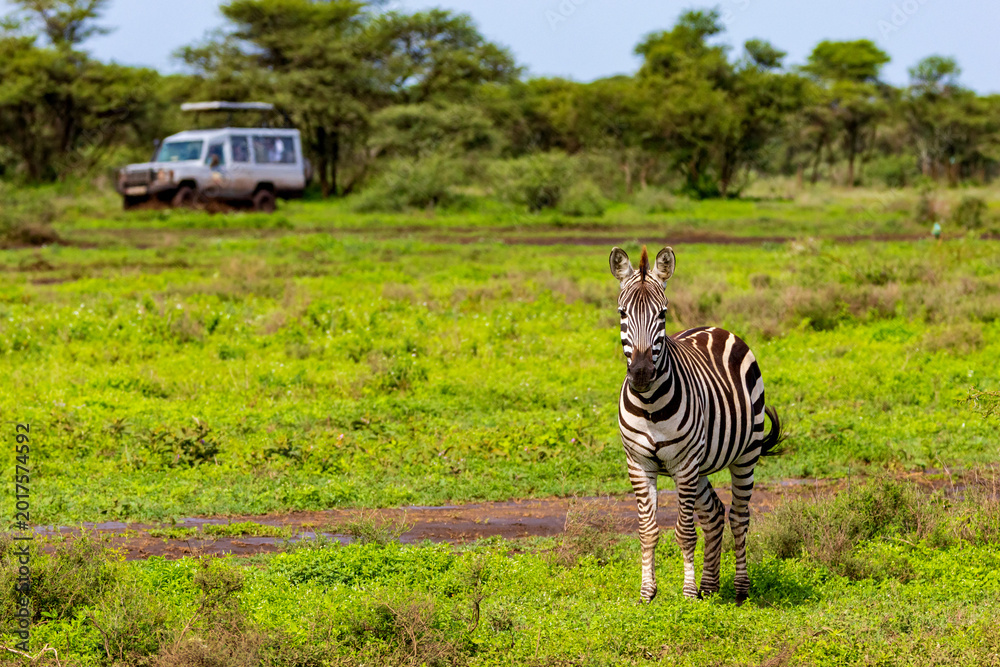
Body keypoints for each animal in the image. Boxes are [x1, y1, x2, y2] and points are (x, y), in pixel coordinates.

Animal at [608, 245, 782, 604]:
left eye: (662, 315)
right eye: (622, 313)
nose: (641, 374)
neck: (650, 405)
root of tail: (716, 329)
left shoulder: (685, 463)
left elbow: (685, 532)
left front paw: (688, 594)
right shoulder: (639, 464)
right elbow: (648, 531)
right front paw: (647, 593)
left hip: (744, 455)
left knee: (739, 517)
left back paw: (740, 588)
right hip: (699, 464)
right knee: (714, 514)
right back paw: (711, 585)